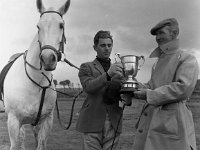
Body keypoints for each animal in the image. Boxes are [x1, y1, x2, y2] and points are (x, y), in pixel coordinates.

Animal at [2, 0, 70, 149]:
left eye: (61, 25)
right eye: (38, 26)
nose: (48, 58)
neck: (37, 82)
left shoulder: (46, 121)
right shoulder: (13, 121)